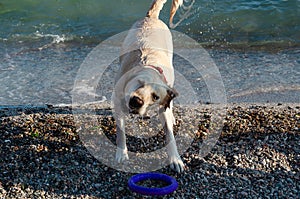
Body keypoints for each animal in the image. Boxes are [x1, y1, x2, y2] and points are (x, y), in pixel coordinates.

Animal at [112, 0, 183, 172]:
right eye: (140, 83)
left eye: (155, 96)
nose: (136, 101)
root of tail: (151, 17)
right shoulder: (118, 102)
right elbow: (121, 131)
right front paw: (122, 153)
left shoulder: (163, 103)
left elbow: (169, 133)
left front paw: (175, 159)